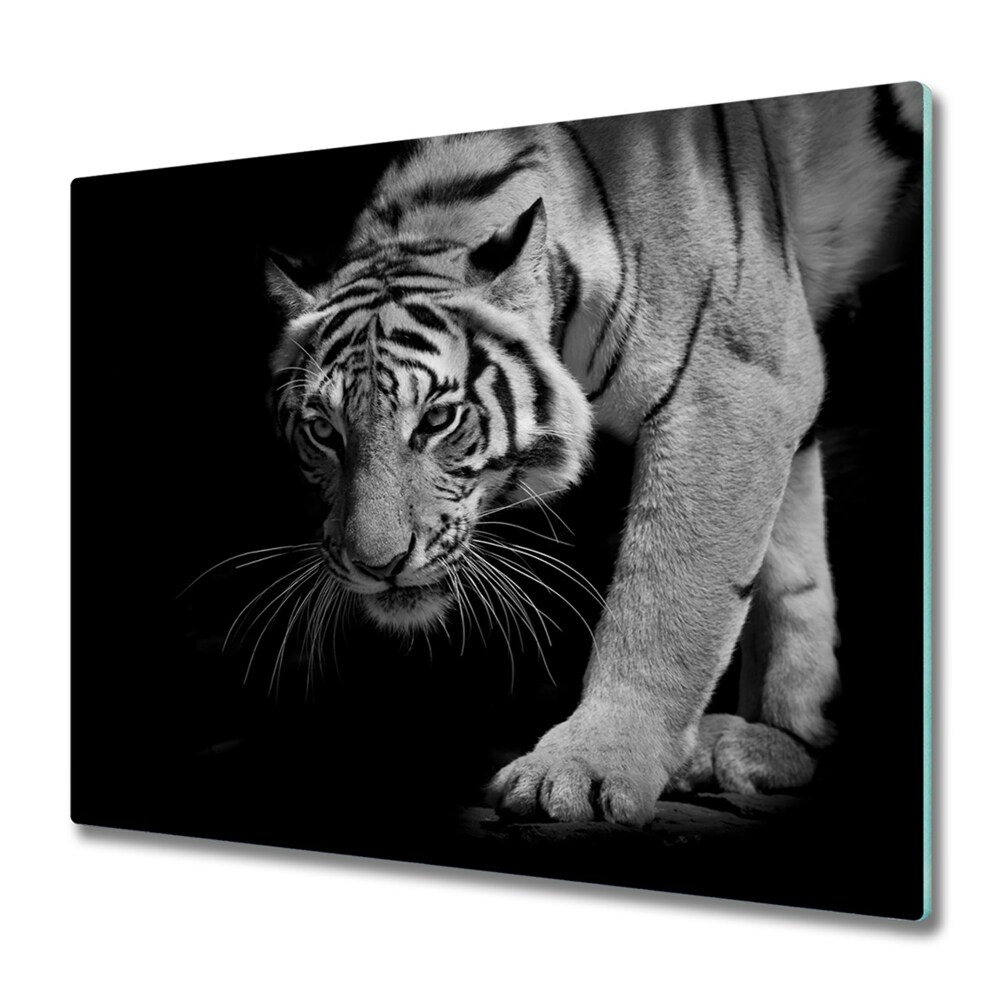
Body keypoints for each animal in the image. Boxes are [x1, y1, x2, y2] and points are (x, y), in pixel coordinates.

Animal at [263, 82, 926, 826]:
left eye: (437, 419)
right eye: (324, 431)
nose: (375, 566)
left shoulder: (733, 383)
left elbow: (668, 600)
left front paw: (584, 767)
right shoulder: (780, 385)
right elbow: (792, 570)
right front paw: (779, 739)